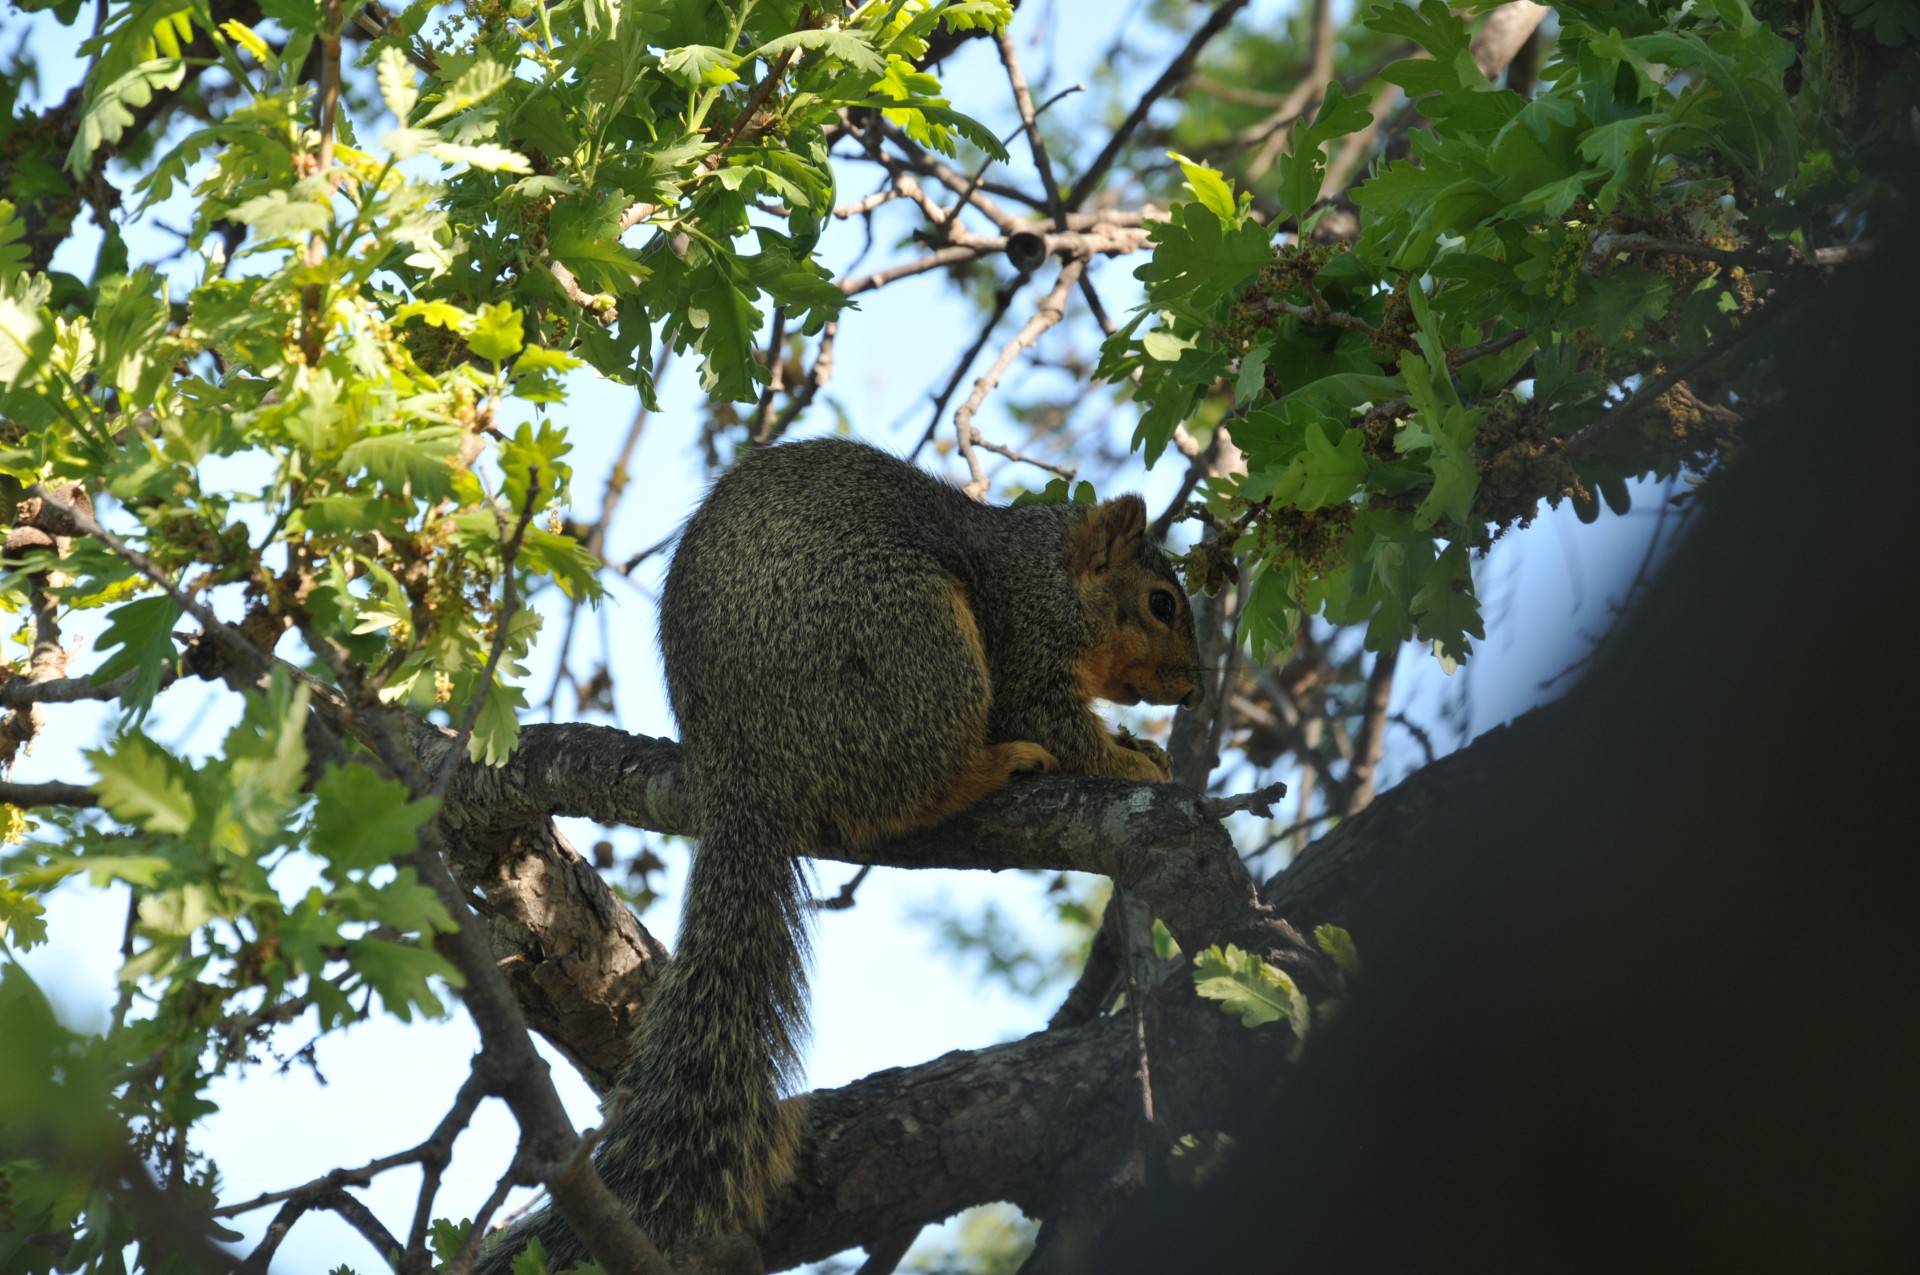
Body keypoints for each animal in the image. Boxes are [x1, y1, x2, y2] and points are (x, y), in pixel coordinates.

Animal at [480, 435, 1198, 1267]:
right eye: (1161, 602)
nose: (1195, 689)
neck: (1047, 567)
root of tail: (742, 764)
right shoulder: (1029, 642)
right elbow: (1058, 722)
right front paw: (1130, 762)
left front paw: (1141, 744)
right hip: (914, 643)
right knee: (918, 780)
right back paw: (994, 765)